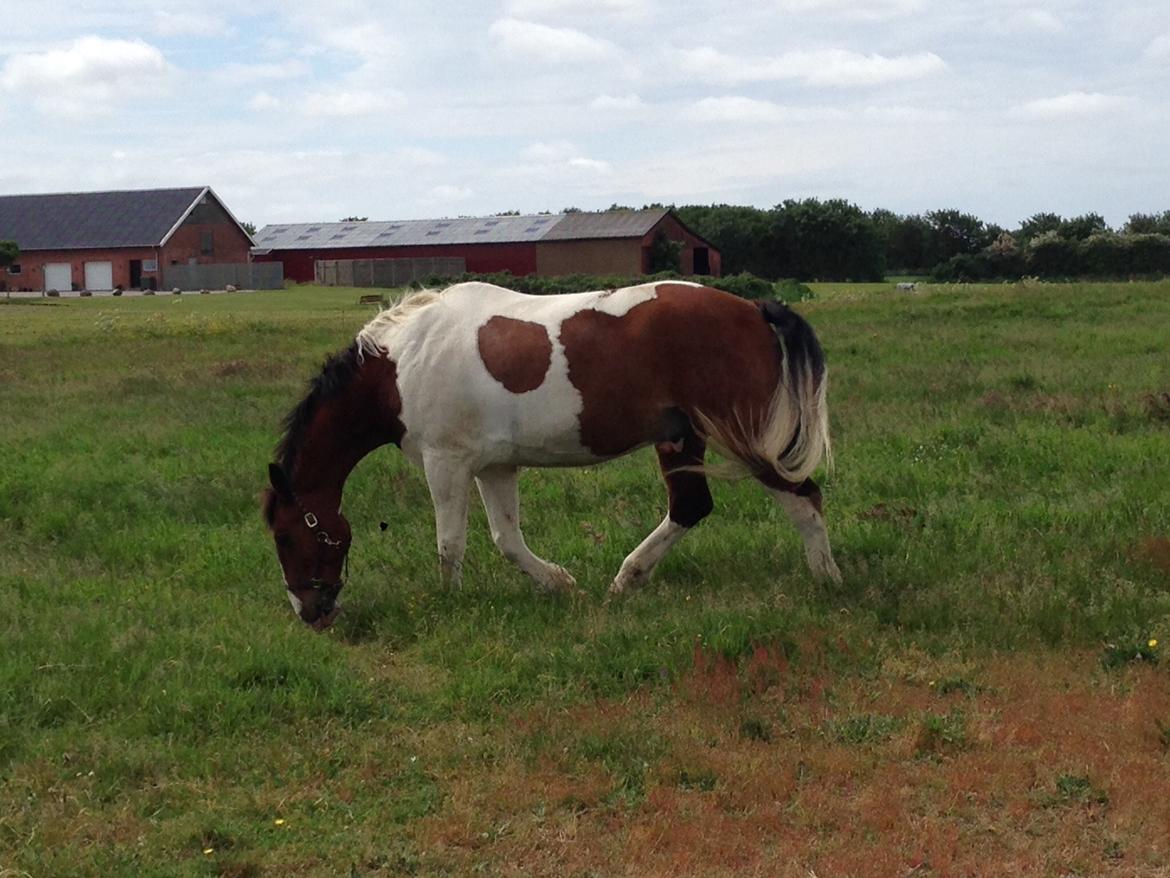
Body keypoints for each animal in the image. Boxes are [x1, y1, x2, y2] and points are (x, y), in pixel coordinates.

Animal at [263, 282, 842, 632]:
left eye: (286, 535)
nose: (309, 613)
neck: (402, 364)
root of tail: (754, 309)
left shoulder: (445, 463)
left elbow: (450, 544)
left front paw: (449, 603)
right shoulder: (493, 467)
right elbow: (506, 540)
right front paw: (560, 584)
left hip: (748, 440)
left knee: (803, 499)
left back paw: (827, 580)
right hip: (682, 437)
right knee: (690, 507)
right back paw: (627, 579)